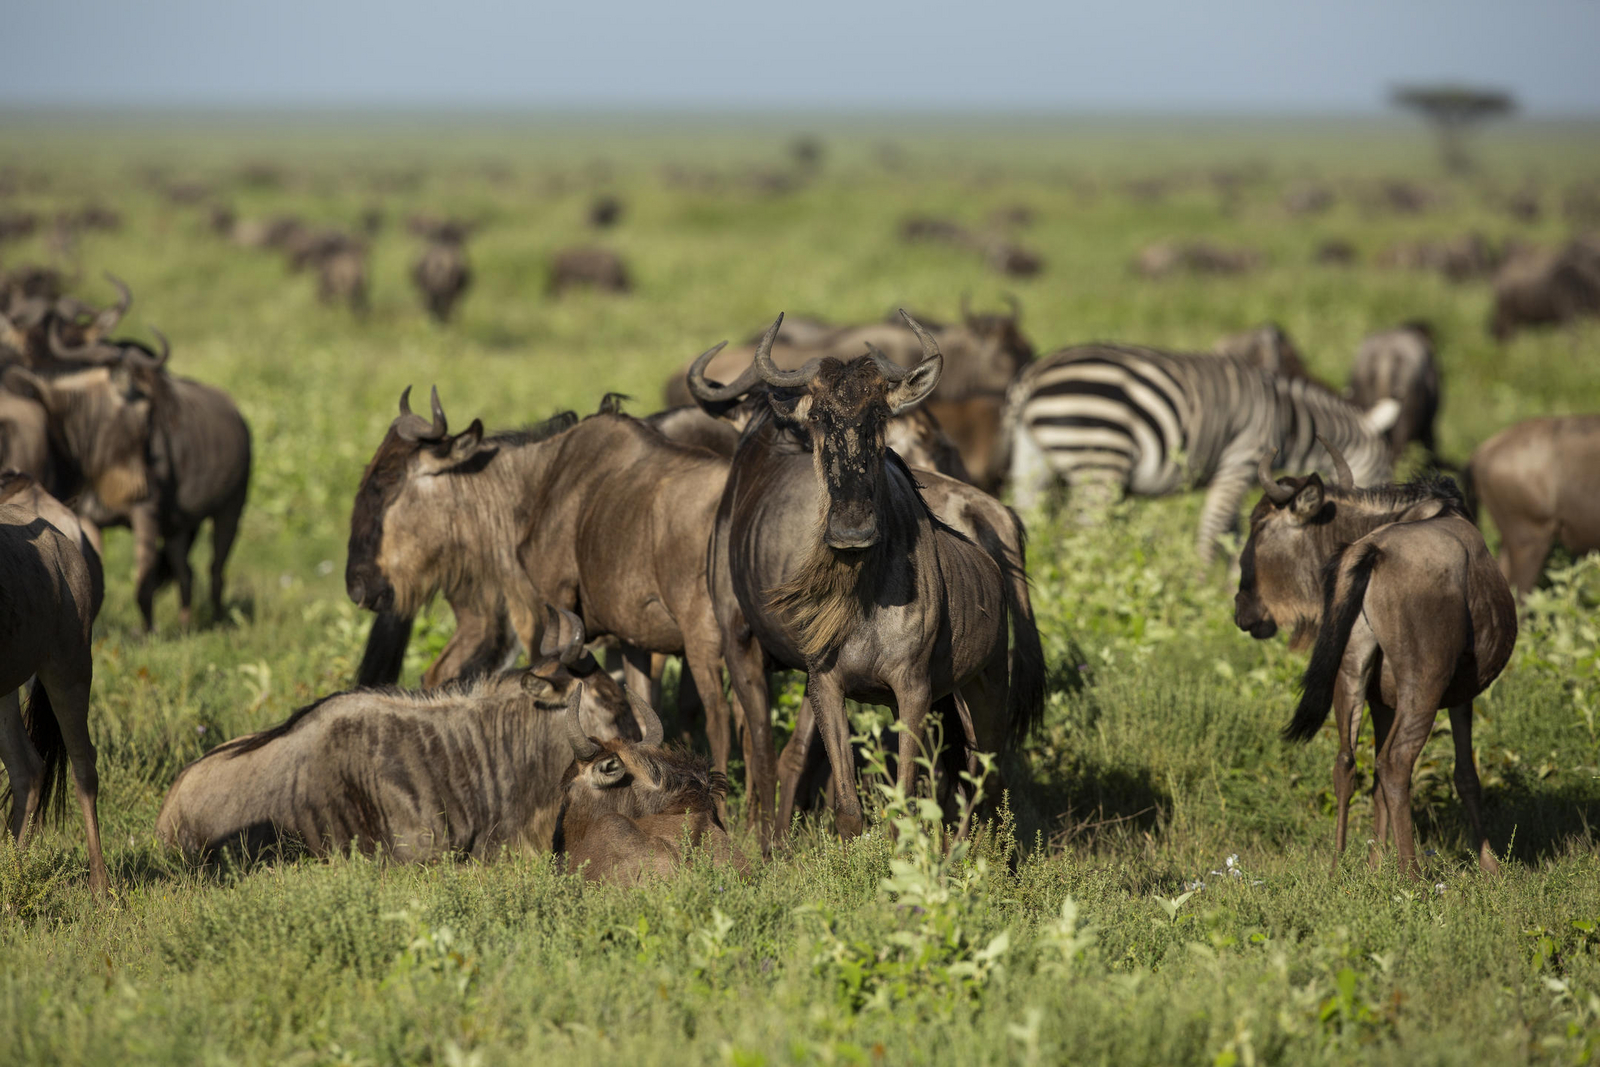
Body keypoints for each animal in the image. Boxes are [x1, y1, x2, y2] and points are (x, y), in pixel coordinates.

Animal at [1004, 343, 1400, 563]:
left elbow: (1234, 532)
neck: (1289, 421)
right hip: (1100, 456)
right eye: (1384, 477)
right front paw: (1199, 585)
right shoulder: (1242, 460)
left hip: (1031, 459)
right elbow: (1213, 528)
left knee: (1030, 514)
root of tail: (1032, 376)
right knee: (1089, 530)